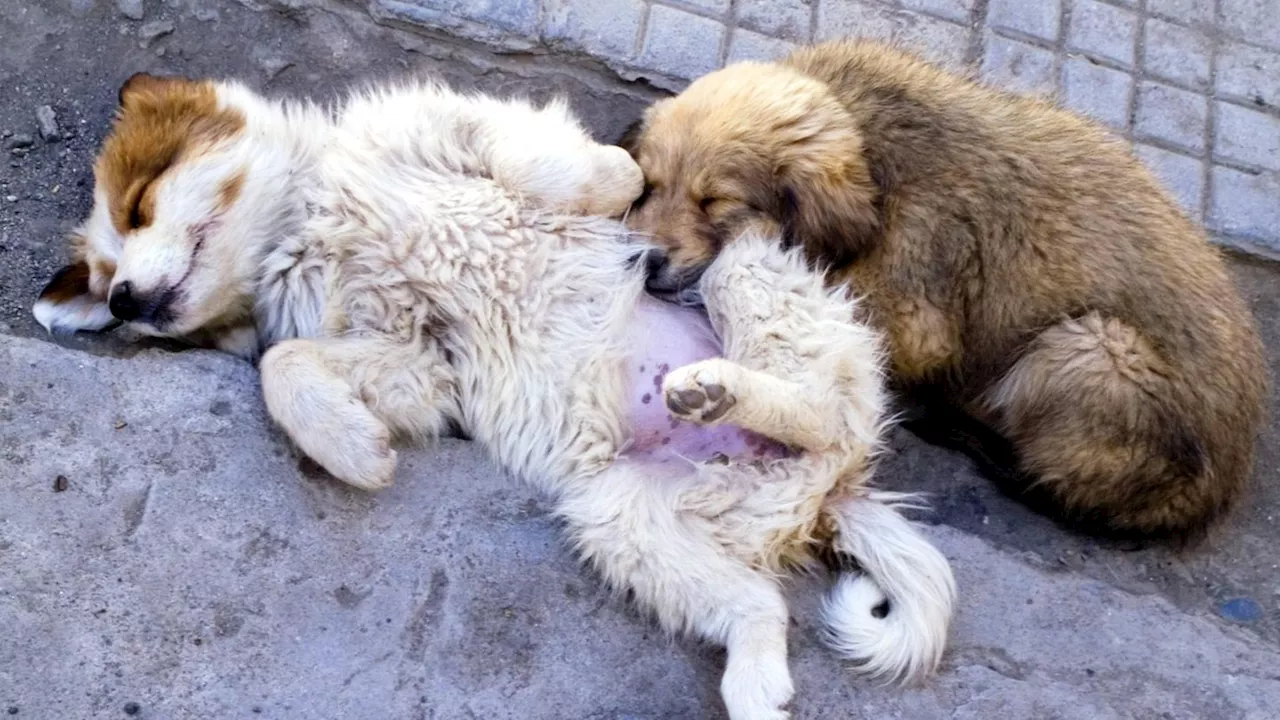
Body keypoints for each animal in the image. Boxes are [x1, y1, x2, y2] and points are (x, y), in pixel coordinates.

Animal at [32, 74, 952, 717]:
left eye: (139, 202)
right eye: (103, 278)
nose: (123, 303)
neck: (306, 221)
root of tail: (834, 493)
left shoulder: (453, 131)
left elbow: (563, 165)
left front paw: (616, 176)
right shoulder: (416, 358)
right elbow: (285, 364)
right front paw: (355, 450)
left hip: (744, 273)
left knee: (818, 407)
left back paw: (715, 386)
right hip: (621, 517)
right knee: (758, 602)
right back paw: (756, 683)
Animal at [622, 36, 1269, 535]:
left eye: (715, 203)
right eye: (648, 185)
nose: (643, 263)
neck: (873, 154)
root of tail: (1214, 489)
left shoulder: (914, 317)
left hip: (1090, 345)